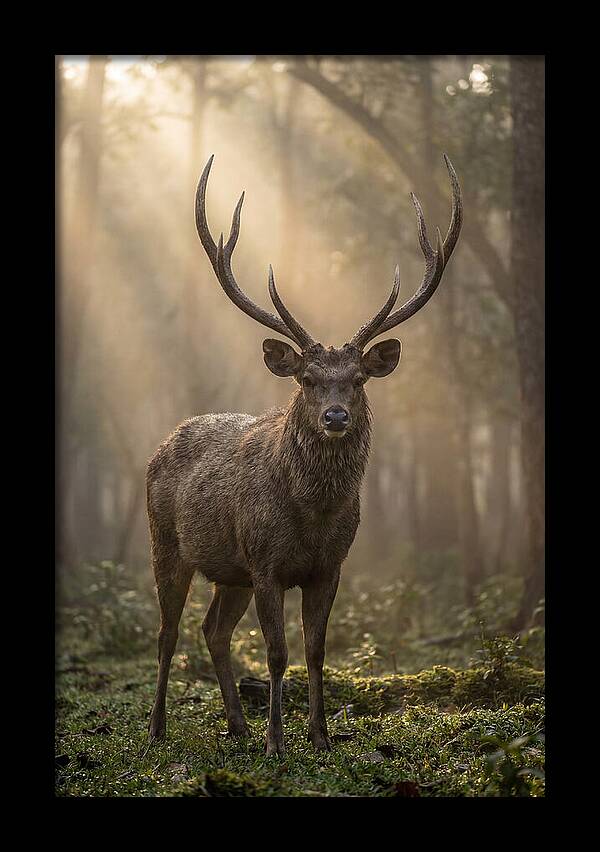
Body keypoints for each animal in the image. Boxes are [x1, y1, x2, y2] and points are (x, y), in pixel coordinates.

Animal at [147, 153, 462, 755]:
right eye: (309, 379)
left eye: (358, 380)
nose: (335, 417)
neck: (312, 517)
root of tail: (162, 443)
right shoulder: (266, 562)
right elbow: (277, 653)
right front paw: (277, 742)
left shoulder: (329, 566)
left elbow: (316, 650)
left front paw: (318, 735)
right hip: (167, 544)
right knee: (168, 631)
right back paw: (156, 729)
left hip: (230, 571)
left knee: (213, 630)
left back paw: (237, 725)